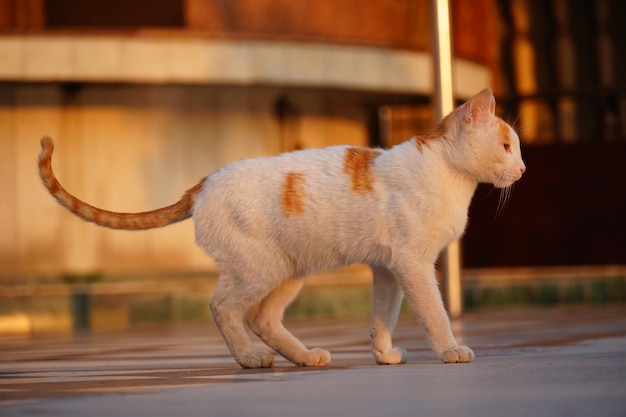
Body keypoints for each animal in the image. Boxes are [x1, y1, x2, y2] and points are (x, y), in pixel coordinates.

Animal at [39, 87, 524, 368]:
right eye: (506, 146)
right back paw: (251, 359)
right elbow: (435, 314)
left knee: (261, 318)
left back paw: (305, 357)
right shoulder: (413, 265)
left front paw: (384, 353)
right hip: (260, 269)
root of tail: (203, 182)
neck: (449, 176)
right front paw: (450, 350)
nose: (522, 168)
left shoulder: (388, 269)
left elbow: (382, 316)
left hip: (289, 270)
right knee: (224, 307)